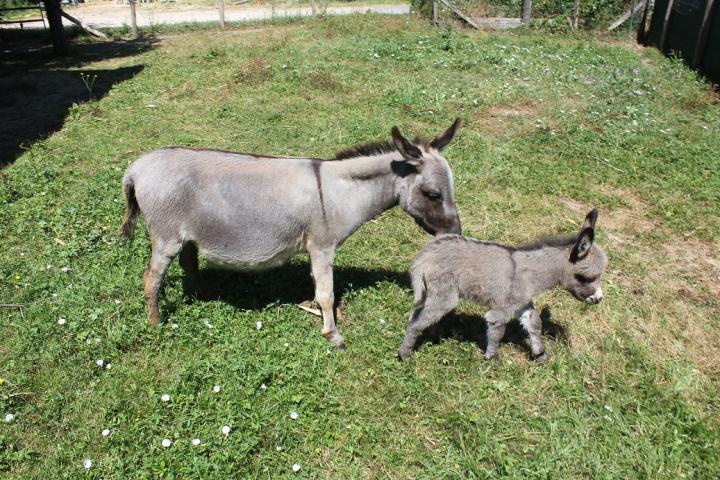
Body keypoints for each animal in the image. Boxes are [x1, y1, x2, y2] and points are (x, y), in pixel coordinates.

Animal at [400, 208, 608, 362]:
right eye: (585, 277)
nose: (598, 299)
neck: (529, 273)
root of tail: (424, 256)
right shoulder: (503, 308)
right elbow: (497, 331)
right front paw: (491, 359)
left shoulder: (522, 303)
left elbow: (534, 323)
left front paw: (540, 355)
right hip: (445, 294)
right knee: (418, 321)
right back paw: (405, 354)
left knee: (418, 314)